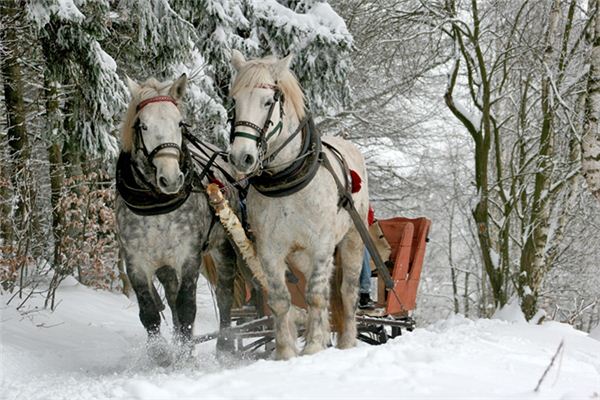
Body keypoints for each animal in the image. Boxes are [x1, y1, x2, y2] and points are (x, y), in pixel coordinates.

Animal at [227, 50, 368, 360]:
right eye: (234, 101)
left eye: (268, 101)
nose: (241, 157)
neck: (287, 177)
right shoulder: (269, 250)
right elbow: (281, 300)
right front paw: (286, 352)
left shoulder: (322, 245)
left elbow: (315, 295)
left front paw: (313, 346)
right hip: (300, 255)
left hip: (351, 240)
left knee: (346, 291)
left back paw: (347, 342)